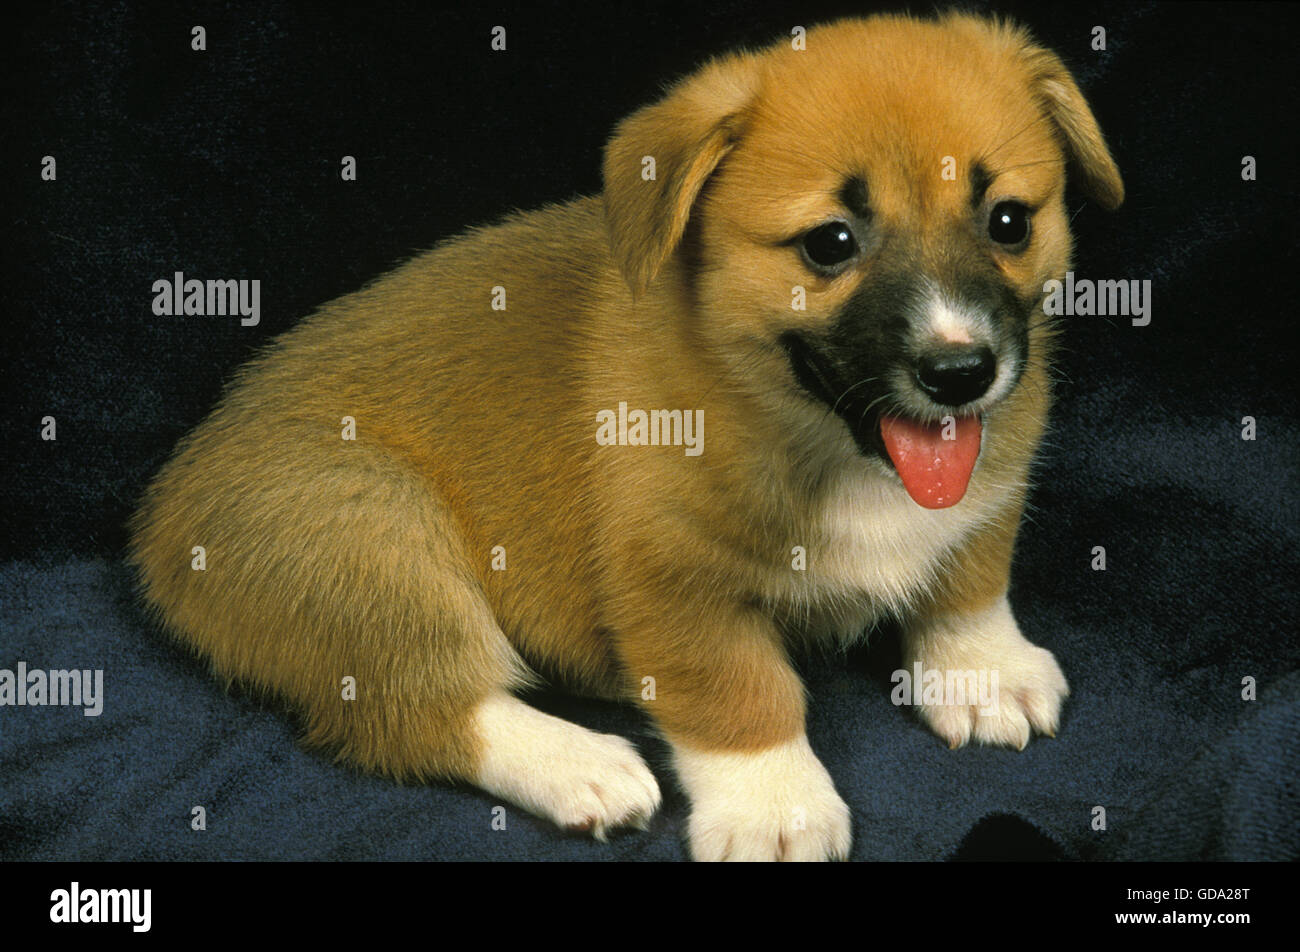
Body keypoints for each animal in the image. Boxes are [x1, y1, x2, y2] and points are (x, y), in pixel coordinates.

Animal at [134, 11, 1128, 863]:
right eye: (830, 243)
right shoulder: (671, 578)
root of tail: (157, 524)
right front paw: (774, 805)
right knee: (418, 707)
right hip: (372, 535)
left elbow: (968, 574)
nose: (960, 374)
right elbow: (740, 693)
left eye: (1009, 221)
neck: (821, 440)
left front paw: (980, 669)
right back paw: (581, 764)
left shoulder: (987, 491)